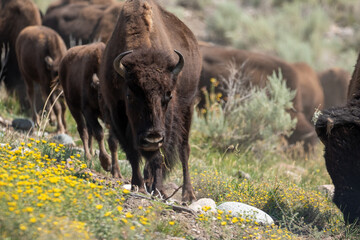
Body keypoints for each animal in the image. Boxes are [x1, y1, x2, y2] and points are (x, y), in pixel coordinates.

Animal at [58, 42, 121, 178]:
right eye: (100, 95)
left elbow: (113, 142)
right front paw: (106, 163)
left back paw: (91, 155)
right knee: (83, 131)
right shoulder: (88, 111)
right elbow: (99, 133)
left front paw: (116, 172)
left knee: (89, 132)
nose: (109, 117)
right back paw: (88, 158)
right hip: (73, 107)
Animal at [100, 0, 201, 202]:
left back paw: (188, 194)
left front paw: (159, 190)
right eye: (130, 95)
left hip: (188, 108)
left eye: (168, 95)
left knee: (184, 149)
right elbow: (132, 152)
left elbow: (157, 157)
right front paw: (137, 185)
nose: (152, 137)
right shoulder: (116, 112)